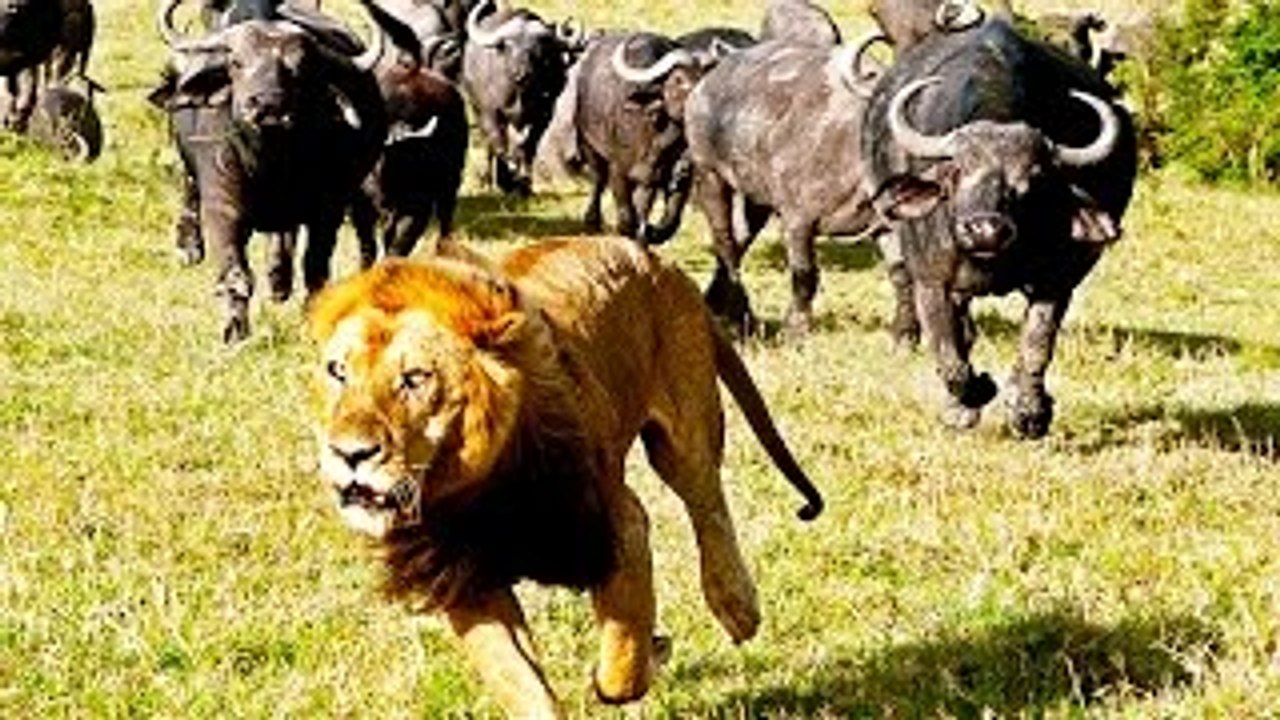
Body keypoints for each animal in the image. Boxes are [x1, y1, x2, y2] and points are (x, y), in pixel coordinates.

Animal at [307, 235, 823, 717]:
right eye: (338, 372)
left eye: (415, 378)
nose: (348, 453)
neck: (479, 491)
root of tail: (661, 261)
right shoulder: (465, 578)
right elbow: (519, 683)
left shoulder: (620, 524)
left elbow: (622, 656)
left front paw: (641, 660)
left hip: (685, 430)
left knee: (708, 503)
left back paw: (737, 607)